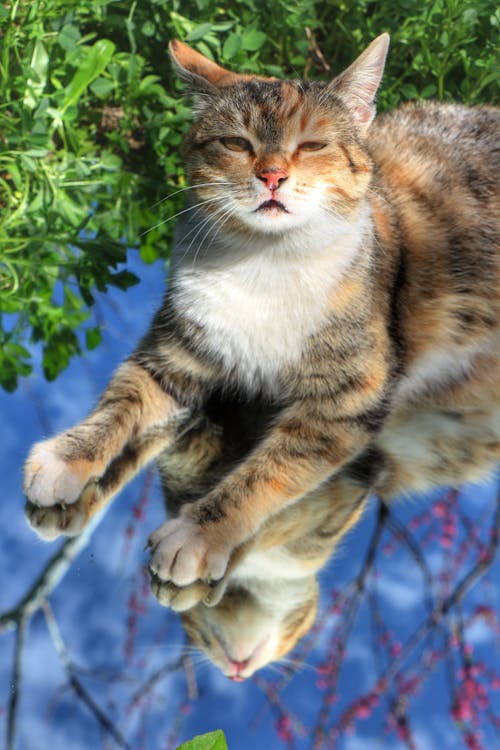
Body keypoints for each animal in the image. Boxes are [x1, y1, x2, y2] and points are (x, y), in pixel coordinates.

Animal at [24, 33, 500, 680]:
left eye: (314, 145)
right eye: (237, 143)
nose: (272, 174)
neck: (266, 263)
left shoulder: (348, 404)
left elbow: (269, 475)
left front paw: (198, 534)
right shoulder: (177, 350)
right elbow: (125, 397)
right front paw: (69, 457)